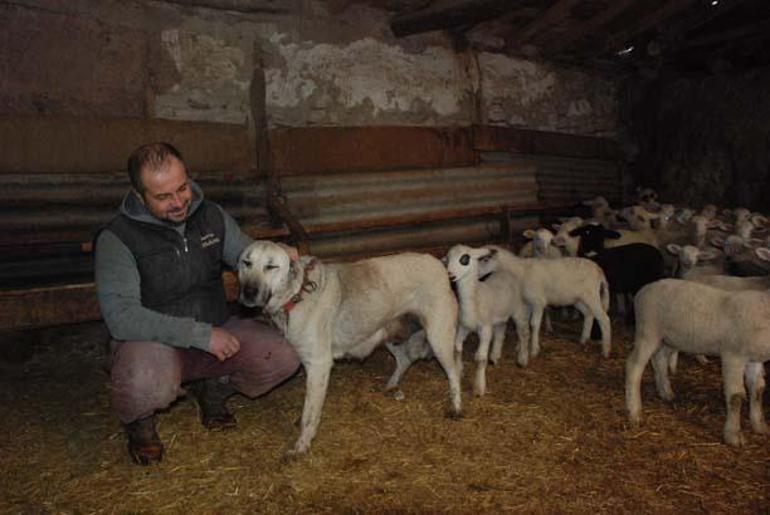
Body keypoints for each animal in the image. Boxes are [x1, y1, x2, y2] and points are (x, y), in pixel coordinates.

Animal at [237, 242, 460, 456]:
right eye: (246, 263)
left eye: (271, 266)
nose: (248, 293)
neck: (297, 293)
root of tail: (437, 263)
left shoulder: (318, 365)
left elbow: (309, 415)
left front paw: (302, 445)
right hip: (384, 332)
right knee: (404, 360)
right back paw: (391, 386)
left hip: (439, 338)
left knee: (454, 373)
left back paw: (456, 408)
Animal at [624, 278, 768, 448]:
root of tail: (644, 289)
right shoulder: (733, 355)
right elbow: (736, 397)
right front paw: (733, 435)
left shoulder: (755, 359)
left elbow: (758, 390)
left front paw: (759, 425)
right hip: (647, 331)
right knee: (634, 366)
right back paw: (634, 411)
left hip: (667, 338)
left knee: (659, 359)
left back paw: (666, 392)